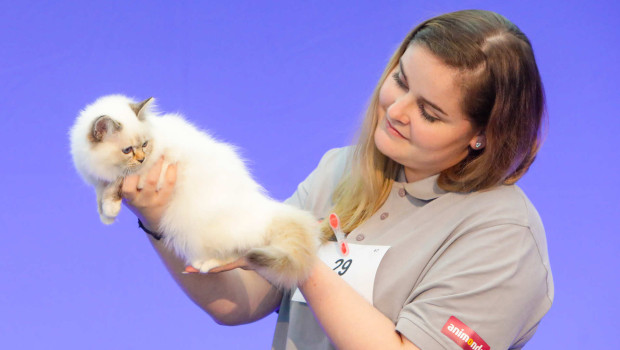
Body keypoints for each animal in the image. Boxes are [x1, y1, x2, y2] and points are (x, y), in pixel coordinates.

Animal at [70, 93, 324, 288]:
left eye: (144, 145)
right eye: (127, 150)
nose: (141, 159)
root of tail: (266, 211)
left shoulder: (146, 170)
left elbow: (117, 185)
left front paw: (110, 210)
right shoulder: (100, 179)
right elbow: (102, 190)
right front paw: (105, 215)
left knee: (237, 254)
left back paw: (206, 265)